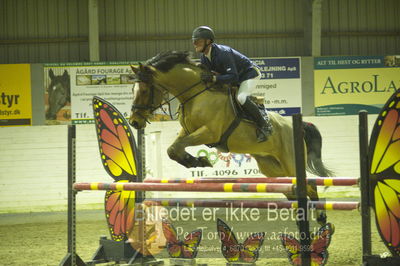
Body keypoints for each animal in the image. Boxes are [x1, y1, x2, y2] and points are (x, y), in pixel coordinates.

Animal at [130, 50, 332, 224]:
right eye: (133, 90)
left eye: (145, 91)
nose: (134, 122)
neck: (194, 95)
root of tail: (296, 126)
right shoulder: (187, 131)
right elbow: (172, 149)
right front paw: (196, 161)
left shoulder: (209, 132)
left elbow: (177, 147)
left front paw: (198, 161)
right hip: (272, 167)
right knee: (292, 192)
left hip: (290, 163)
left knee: (310, 186)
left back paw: (321, 218)